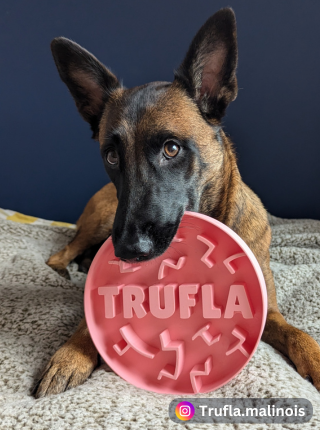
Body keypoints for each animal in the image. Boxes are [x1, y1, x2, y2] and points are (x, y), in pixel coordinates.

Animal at [32, 6, 320, 398]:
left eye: (171, 149)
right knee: (60, 254)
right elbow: (91, 320)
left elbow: (298, 334)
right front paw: (71, 353)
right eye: (111, 156)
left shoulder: (270, 313)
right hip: (101, 221)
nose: (128, 251)